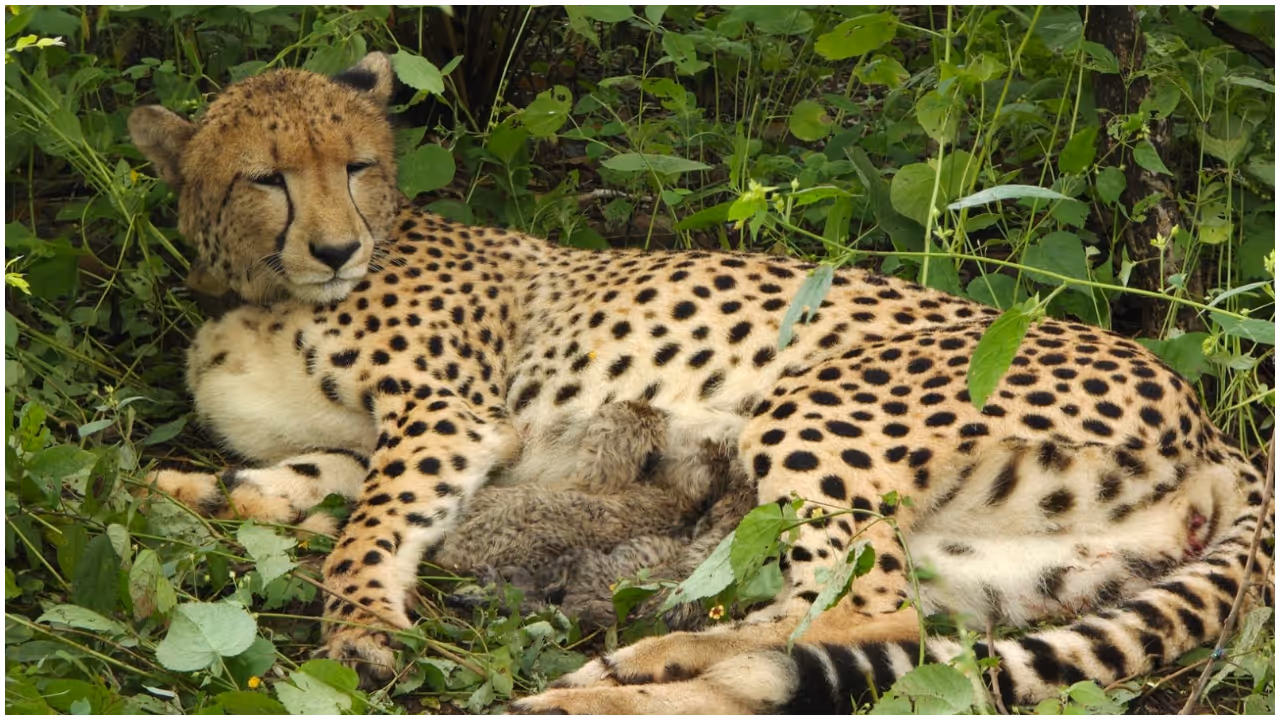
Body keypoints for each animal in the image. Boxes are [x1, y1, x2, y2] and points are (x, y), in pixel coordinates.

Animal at [129, 52, 1272, 713]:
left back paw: (622, 679)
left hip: (815, 410)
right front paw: (179, 491)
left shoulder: (448, 417)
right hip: (1003, 562)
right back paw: (624, 678)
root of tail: (1214, 427)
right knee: (883, 630)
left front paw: (362, 628)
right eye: (265, 177)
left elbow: (368, 526)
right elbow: (292, 485)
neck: (259, 289)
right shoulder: (370, 441)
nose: (334, 248)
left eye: (358, 166)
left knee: (861, 617)